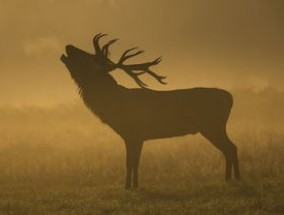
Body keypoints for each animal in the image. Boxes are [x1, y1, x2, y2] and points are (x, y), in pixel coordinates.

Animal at [60, 32, 240, 189]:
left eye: (86, 59)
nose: (69, 46)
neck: (114, 106)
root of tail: (229, 97)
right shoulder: (135, 137)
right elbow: (134, 162)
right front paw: (134, 185)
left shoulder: (134, 133)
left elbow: (130, 162)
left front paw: (128, 186)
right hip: (215, 127)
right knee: (229, 148)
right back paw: (229, 179)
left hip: (212, 126)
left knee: (231, 148)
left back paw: (235, 178)